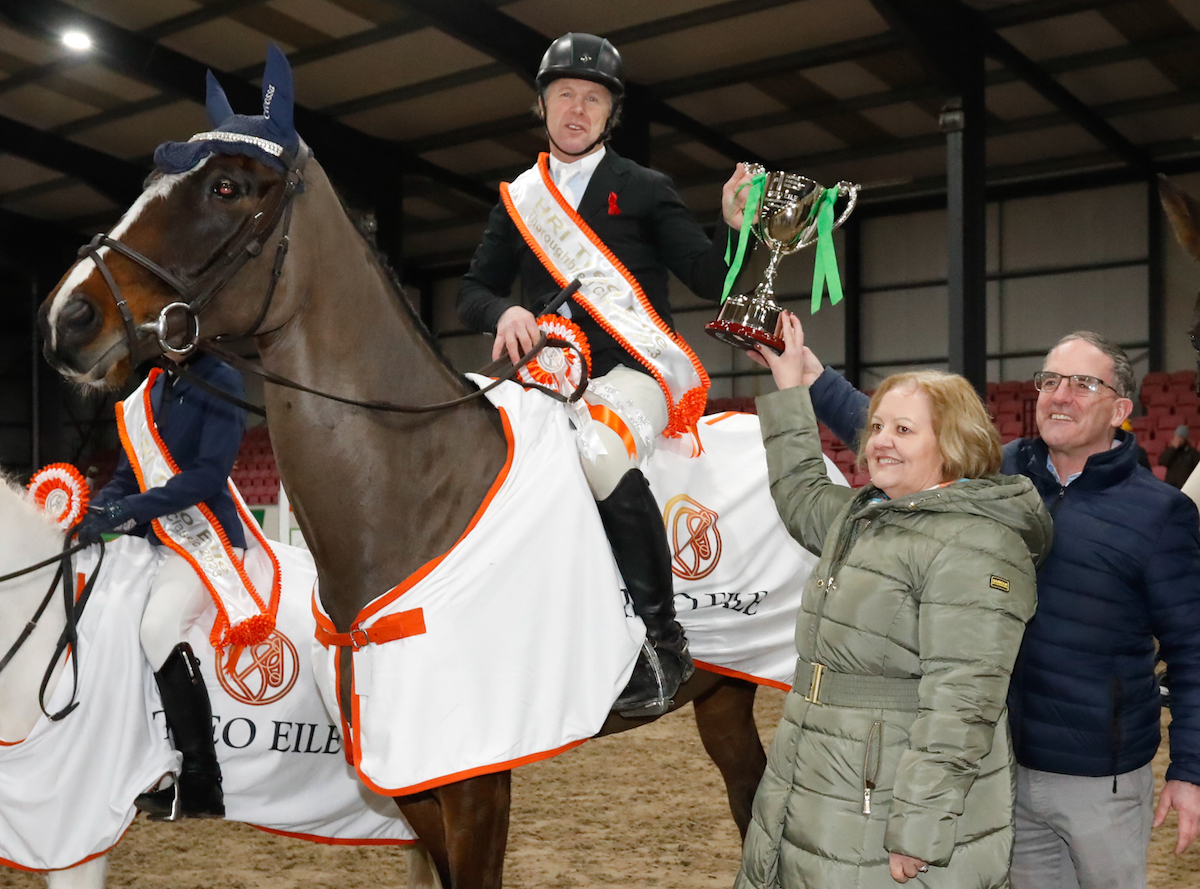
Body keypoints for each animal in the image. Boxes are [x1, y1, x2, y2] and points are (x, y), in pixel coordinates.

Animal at [39, 64, 768, 887]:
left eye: (227, 186)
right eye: (150, 179)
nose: (66, 318)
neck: (413, 490)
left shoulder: (476, 774)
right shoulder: (412, 775)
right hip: (727, 693)